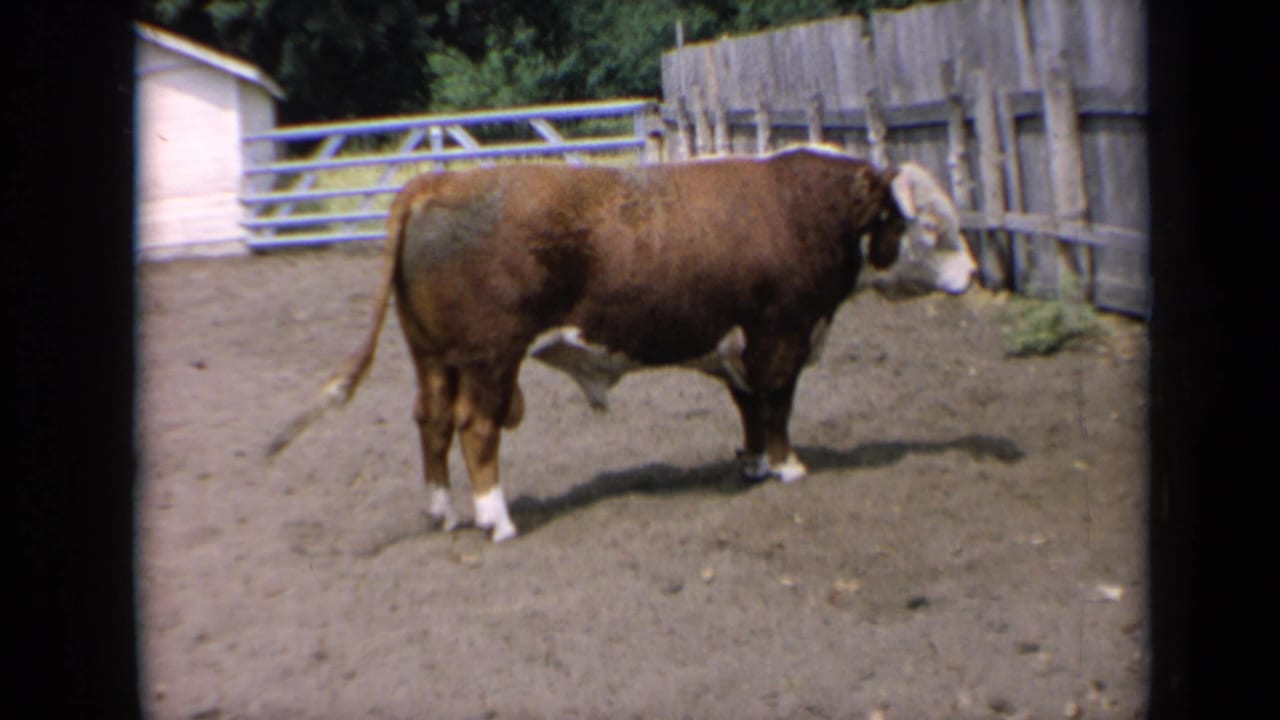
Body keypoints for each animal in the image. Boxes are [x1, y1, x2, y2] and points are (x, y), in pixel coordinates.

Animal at [268, 146, 977, 542]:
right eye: (930, 225)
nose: (973, 275)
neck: (800, 212)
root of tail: (438, 183)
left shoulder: (738, 347)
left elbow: (749, 408)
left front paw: (752, 463)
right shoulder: (781, 337)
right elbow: (776, 406)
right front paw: (787, 467)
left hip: (432, 358)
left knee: (433, 422)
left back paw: (442, 510)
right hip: (490, 358)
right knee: (476, 427)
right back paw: (496, 518)